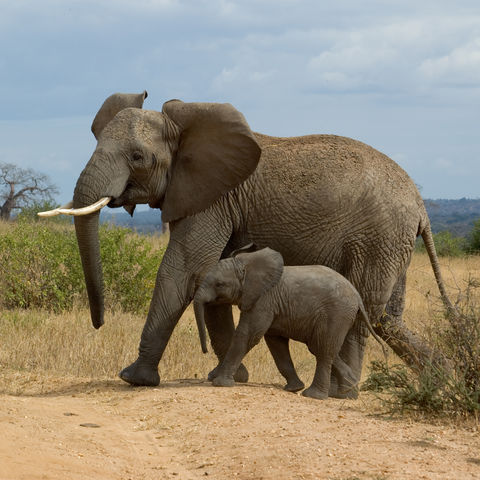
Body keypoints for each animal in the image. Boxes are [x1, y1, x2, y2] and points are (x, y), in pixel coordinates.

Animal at [193, 246, 384, 400]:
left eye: (219, 284)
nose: (205, 350)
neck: (246, 262)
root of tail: (357, 296)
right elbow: (276, 343)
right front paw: (293, 388)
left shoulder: (263, 300)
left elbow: (248, 335)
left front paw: (220, 383)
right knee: (320, 347)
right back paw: (348, 390)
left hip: (337, 314)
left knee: (324, 350)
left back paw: (314, 395)